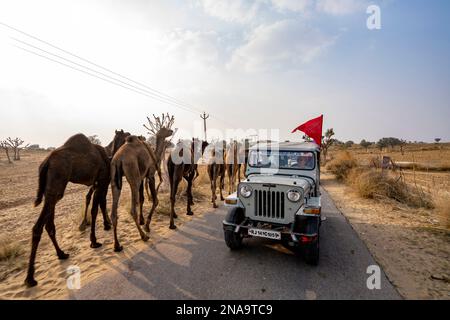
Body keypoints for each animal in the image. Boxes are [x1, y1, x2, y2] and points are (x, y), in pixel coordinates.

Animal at [25, 131, 124, 286]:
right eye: (128, 136)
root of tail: (46, 162)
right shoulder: (102, 181)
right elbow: (96, 208)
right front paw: (94, 241)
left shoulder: (98, 183)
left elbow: (98, 203)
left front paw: (103, 228)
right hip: (57, 181)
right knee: (38, 227)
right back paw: (30, 278)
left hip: (52, 190)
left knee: (49, 224)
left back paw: (61, 254)